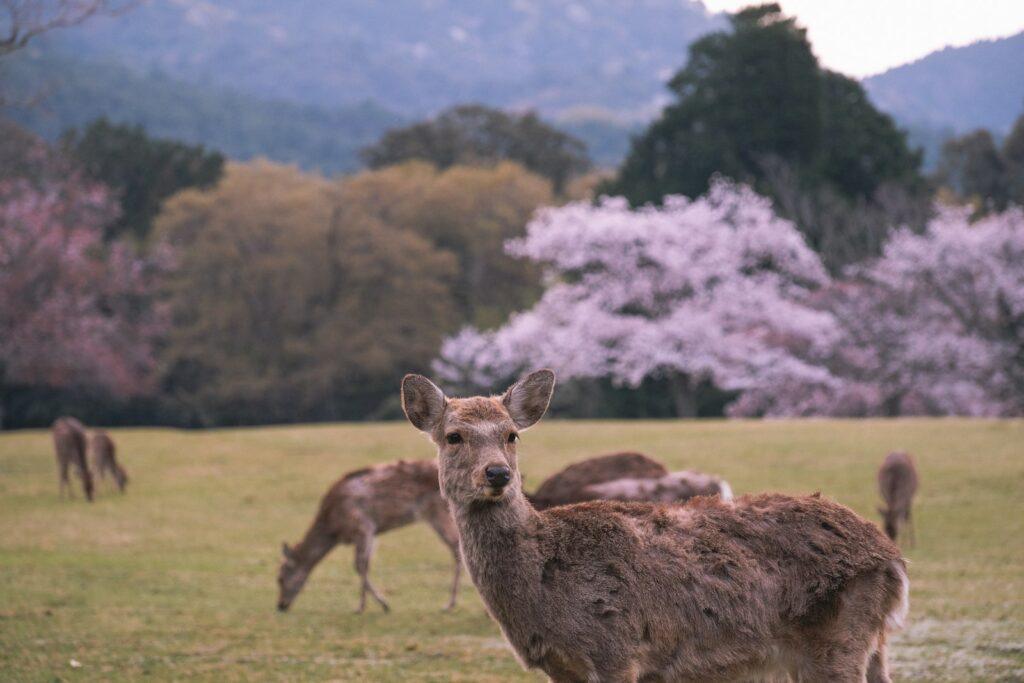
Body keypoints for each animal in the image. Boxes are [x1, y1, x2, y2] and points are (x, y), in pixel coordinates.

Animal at [276, 458, 460, 614]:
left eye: (280, 578)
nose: (280, 605)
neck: (333, 528)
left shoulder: (362, 526)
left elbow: (359, 565)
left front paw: (371, 606)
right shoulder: (372, 533)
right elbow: (366, 564)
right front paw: (369, 605)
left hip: (438, 512)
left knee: (456, 548)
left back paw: (449, 604)